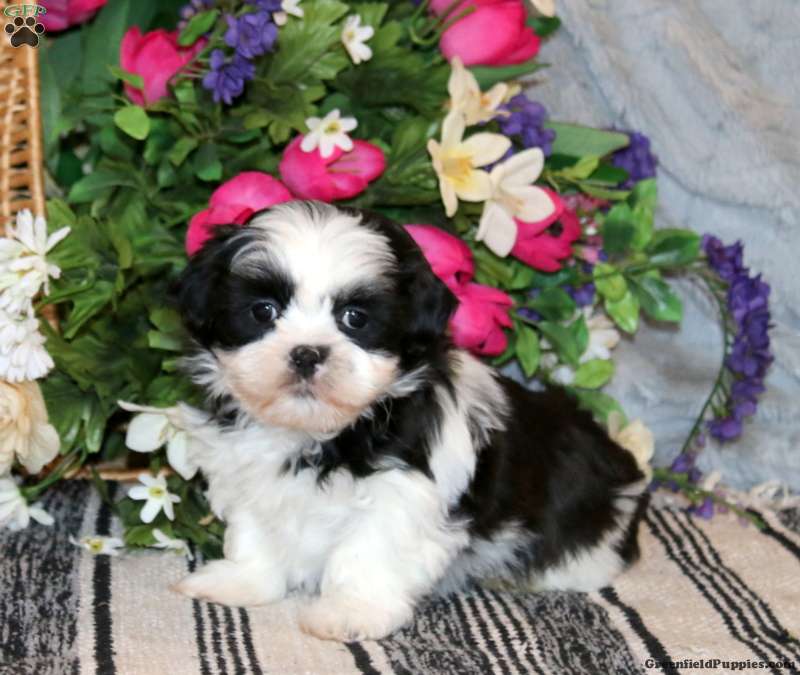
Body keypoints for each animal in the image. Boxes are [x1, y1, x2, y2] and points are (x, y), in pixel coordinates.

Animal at [171, 201, 648, 641]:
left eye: (355, 318)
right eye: (263, 311)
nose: (307, 353)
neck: (327, 429)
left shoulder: (404, 493)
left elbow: (368, 550)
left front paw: (349, 612)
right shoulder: (246, 469)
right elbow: (255, 529)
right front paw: (241, 580)